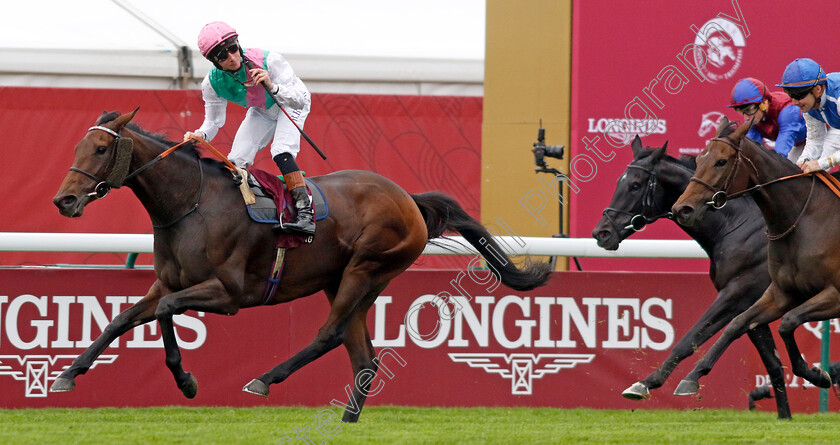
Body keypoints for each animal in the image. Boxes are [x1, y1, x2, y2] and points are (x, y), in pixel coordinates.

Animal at [50, 109, 552, 422]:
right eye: (75, 147)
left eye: (100, 150)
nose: (64, 201)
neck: (191, 204)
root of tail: (408, 198)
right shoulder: (165, 282)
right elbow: (123, 318)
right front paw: (68, 374)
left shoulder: (228, 294)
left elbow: (166, 311)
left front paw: (186, 380)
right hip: (345, 279)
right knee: (362, 354)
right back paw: (348, 419)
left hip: (367, 269)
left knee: (329, 334)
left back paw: (264, 380)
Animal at [592, 135, 792, 416]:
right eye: (619, 182)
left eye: (635, 185)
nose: (602, 233)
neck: (735, 226)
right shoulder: (751, 302)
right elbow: (773, 363)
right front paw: (786, 416)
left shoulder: (737, 293)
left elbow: (690, 339)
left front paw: (646, 383)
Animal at [672, 118, 840, 398]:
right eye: (698, 160)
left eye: (721, 161)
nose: (682, 209)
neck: (804, 221)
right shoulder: (782, 293)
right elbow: (737, 323)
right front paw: (691, 377)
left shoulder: (835, 294)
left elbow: (788, 322)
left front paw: (816, 373)